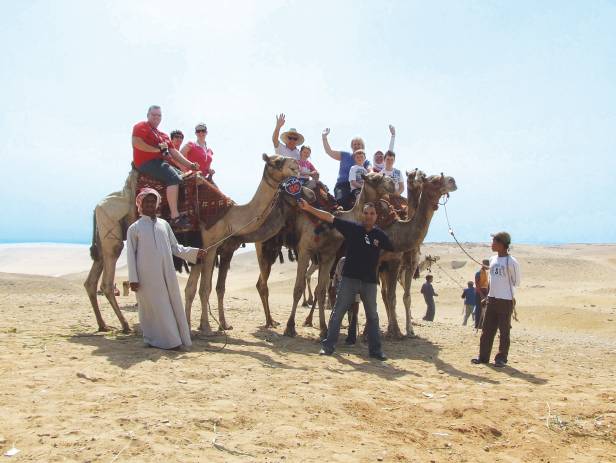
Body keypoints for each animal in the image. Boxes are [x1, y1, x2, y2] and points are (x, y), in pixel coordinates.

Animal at [85, 155, 300, 334]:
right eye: (277, 161)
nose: (296, 166)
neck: (229, 215)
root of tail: (96, 206)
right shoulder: (211, 244)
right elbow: (205, 288)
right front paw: (207, 327)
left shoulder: (203, 249)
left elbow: (194, 288)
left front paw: (199, 325)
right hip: (111, 232)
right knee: (106, 281)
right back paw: (124, 325)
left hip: (104, 239)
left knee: (91, 281)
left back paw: (103, 325)